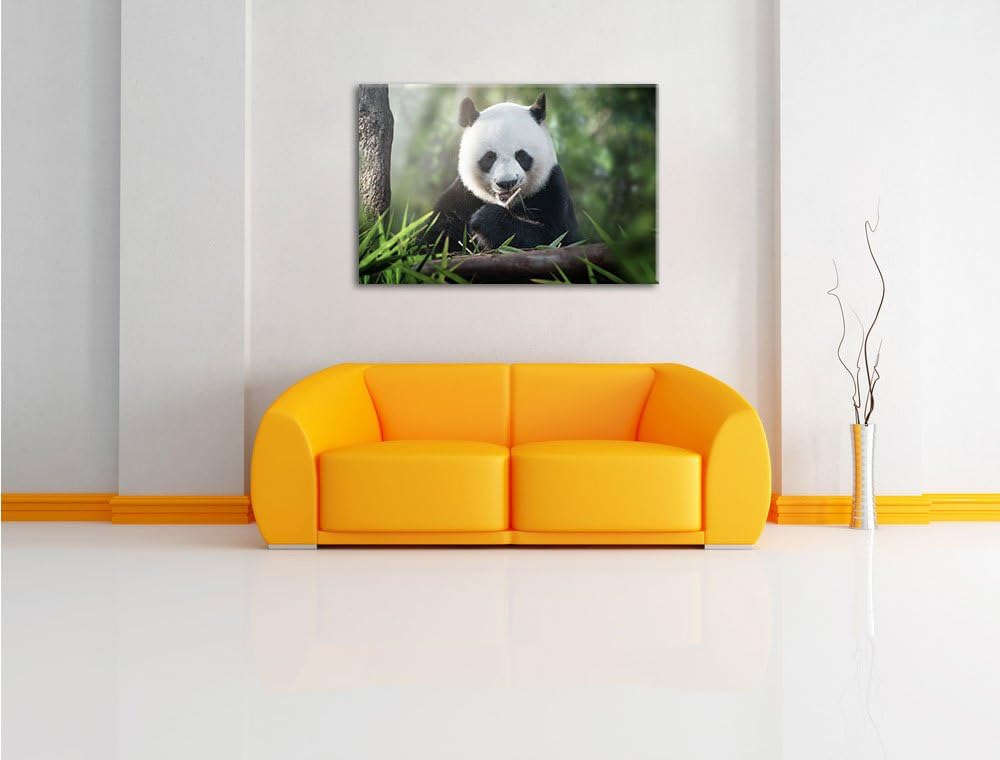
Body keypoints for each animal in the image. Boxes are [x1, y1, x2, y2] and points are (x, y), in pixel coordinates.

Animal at [430, 92, 580, 252]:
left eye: (522, 156)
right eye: (489, 157)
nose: (507, 183)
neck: (508, 203)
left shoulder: (551, 190)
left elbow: (554, 239)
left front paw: (486, 219)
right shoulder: (462, 197)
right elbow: (437, 233)